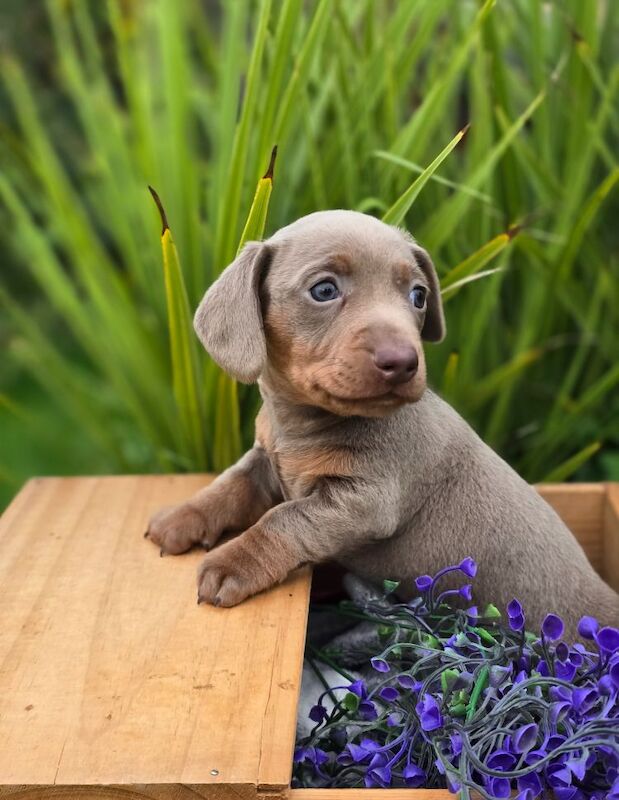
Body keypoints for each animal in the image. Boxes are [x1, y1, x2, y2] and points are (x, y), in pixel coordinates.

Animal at [147, 209, 619, 636]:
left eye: (418, 296)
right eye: (323, 289)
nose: (404, 362)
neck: (302, 425)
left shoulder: (363, 500)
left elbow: (284, 518)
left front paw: (235, 561)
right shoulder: (266, 462)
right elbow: (228, 487)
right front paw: (181, 518)